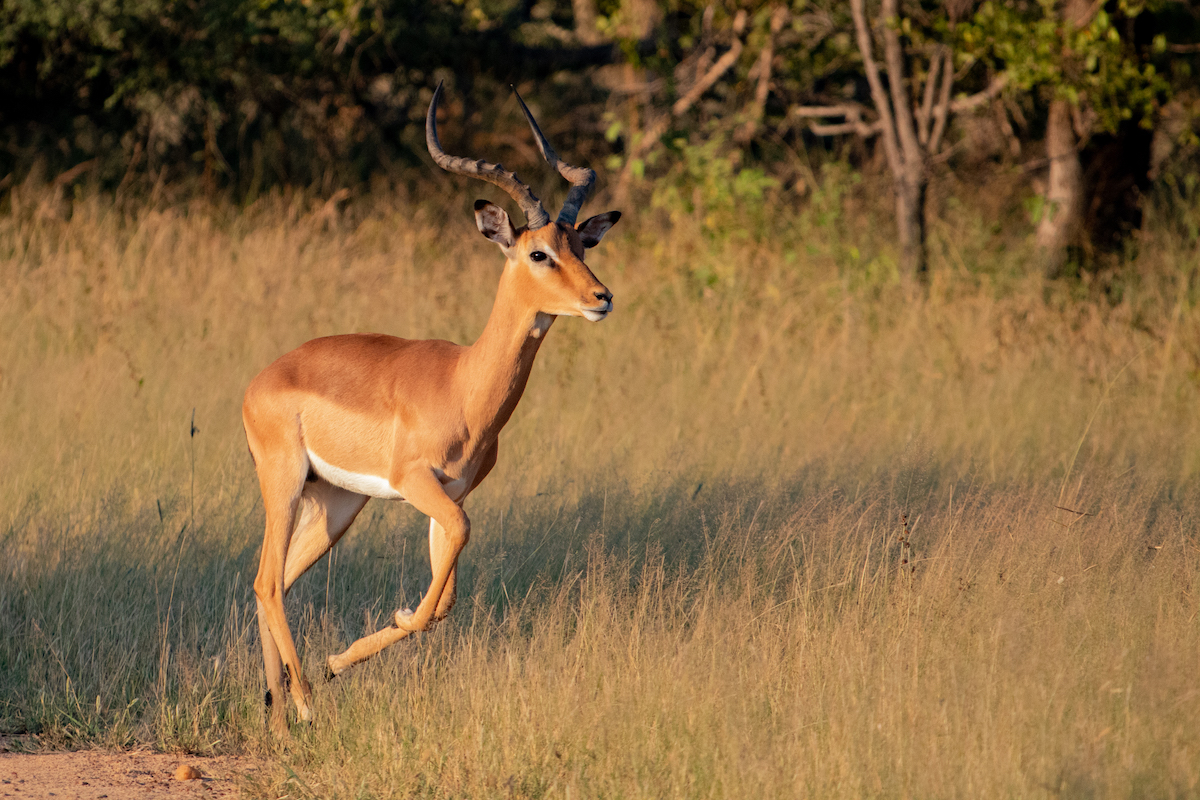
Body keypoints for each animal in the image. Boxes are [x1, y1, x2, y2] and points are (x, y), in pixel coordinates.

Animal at [242, 84, 620, 734]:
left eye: (581, 244)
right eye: (540, 253)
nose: (601, 297)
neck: (463, 384)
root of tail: (261, 380)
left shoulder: (450, 495)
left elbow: (443, 602)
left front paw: (342, 658)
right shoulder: (417, 483)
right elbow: (433, 597)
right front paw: (343, 658)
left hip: (337, 505)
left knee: (278, 584)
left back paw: (279, 718)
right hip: (285, 484)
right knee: (267, 582)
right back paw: (306, 705)